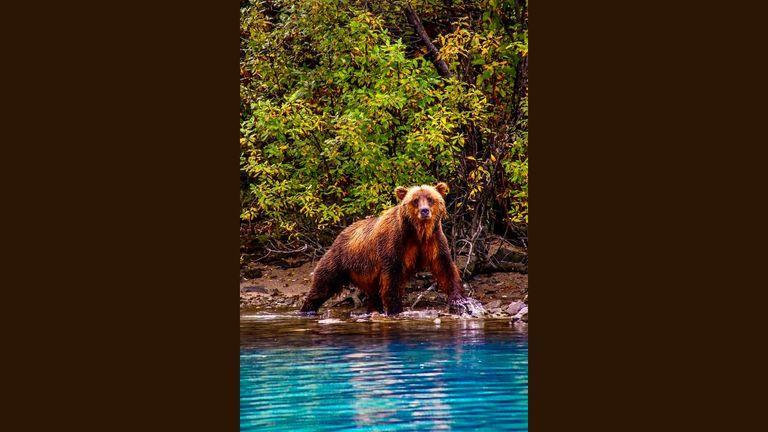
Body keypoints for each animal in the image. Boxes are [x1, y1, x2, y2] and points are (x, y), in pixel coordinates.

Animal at [300, 182, 478, 315]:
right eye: (415, 200)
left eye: (430, 198)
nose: (424, 211)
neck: (418, 231)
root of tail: (341, 233)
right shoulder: (394, 243)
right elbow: (391, 277)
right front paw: (395, 309)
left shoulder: (434, 240)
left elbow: (445, 267)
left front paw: (460, 299)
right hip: (341, 259)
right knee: (323, 284)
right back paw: (307, 309)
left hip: (367, 274)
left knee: (373, 295)